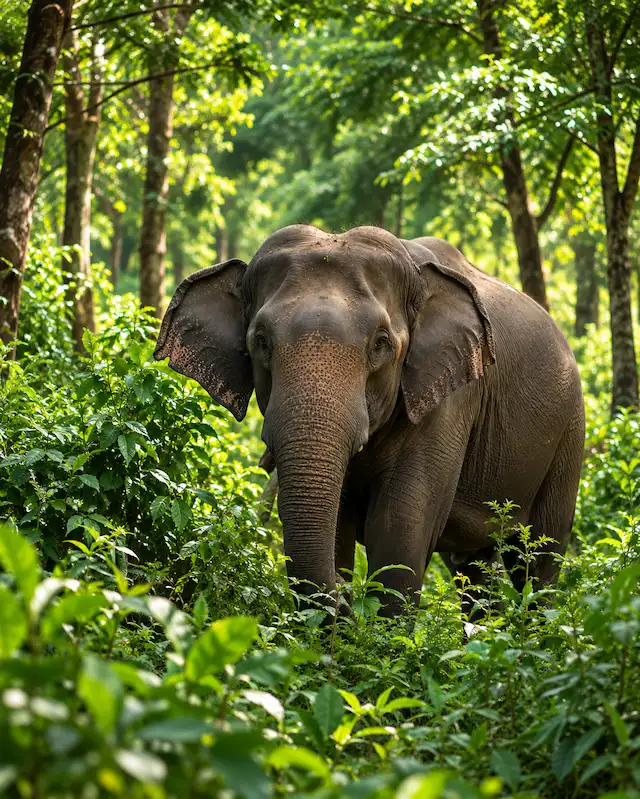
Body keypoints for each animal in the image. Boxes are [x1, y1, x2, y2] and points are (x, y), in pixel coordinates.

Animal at [155, 225, 585, 617]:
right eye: (260, 341)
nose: (342, 598)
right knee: (474, 568)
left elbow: (399, 525)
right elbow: (340, 527)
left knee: (541, 553)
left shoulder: (450, 399)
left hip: (569, 434)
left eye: (380, 344)